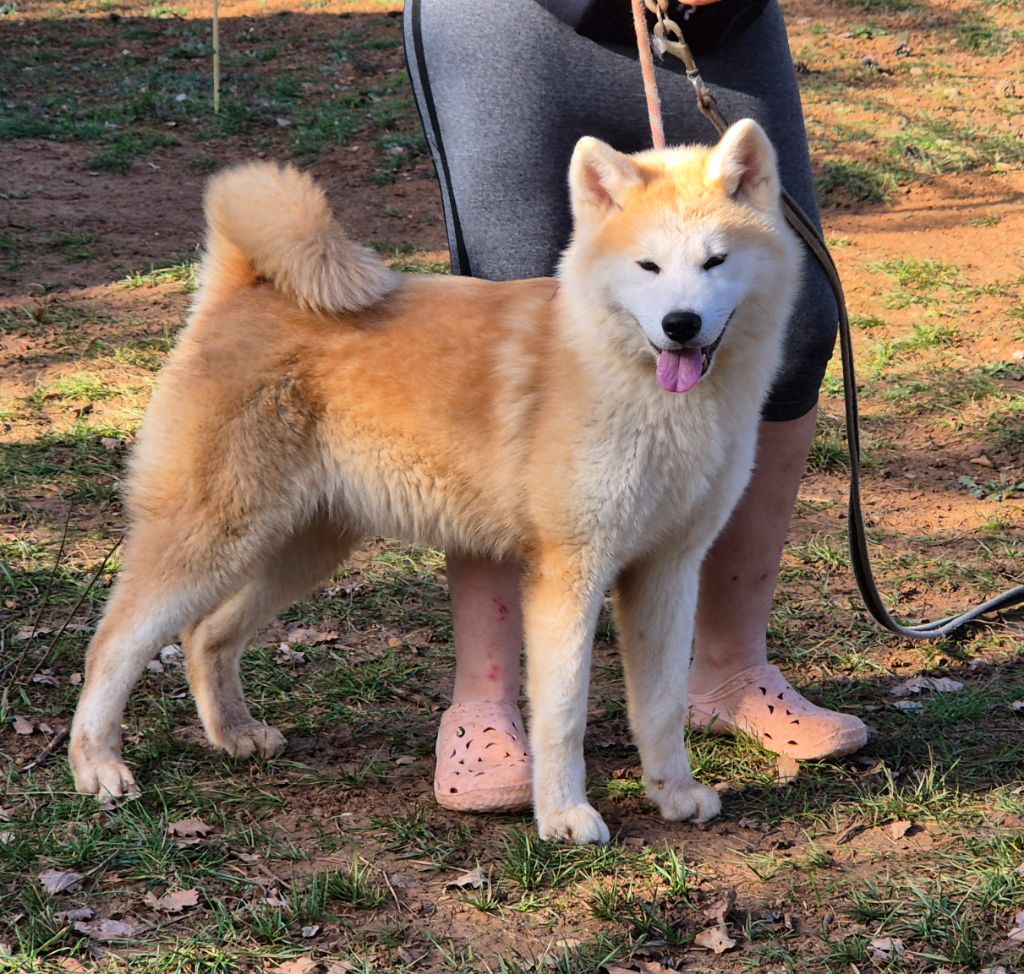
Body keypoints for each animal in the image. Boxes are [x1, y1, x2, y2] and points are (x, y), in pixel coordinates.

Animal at [70, 118, 798, 839]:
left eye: (715, 262)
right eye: (647, 266)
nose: (681, 325)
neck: (628, 378)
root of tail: (242, 288)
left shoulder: (667, 569)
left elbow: (662, 705)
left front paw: (673, 793)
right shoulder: (569, 572)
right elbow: (562, 714)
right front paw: (564, 813)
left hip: (300, 546)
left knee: (206, 636)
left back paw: (234, 733)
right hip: (212, 538)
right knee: (114, 644)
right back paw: (97, 766)